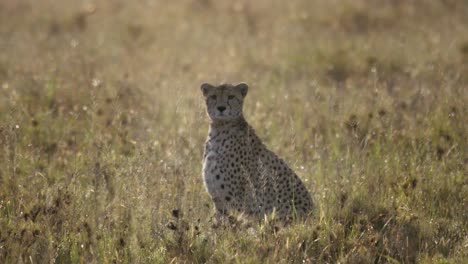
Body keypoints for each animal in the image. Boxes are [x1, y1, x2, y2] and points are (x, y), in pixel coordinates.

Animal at [199, 83, 312, 223]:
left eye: (231, 96)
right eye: (213, 96)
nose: (221, 108)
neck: (219, 128)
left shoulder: (236, 202)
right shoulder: (219, 201)